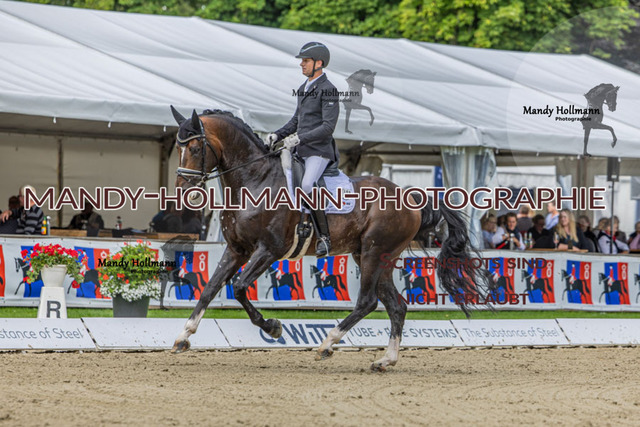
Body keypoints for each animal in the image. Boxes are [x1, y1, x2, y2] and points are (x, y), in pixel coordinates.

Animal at [170, 107, 493, 371]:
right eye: (178, 146)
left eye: (196, 147)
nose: (184, 189)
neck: (255, 179)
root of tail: (410, 196)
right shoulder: (237, 249)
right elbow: (210, 289)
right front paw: (183, 336)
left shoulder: (269, 250)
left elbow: (237, 287)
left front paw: (273, 327)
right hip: (374, 257)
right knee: (396, 306)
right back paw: (385, 360)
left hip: (375, 253)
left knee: (367, 302)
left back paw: (327, 343)